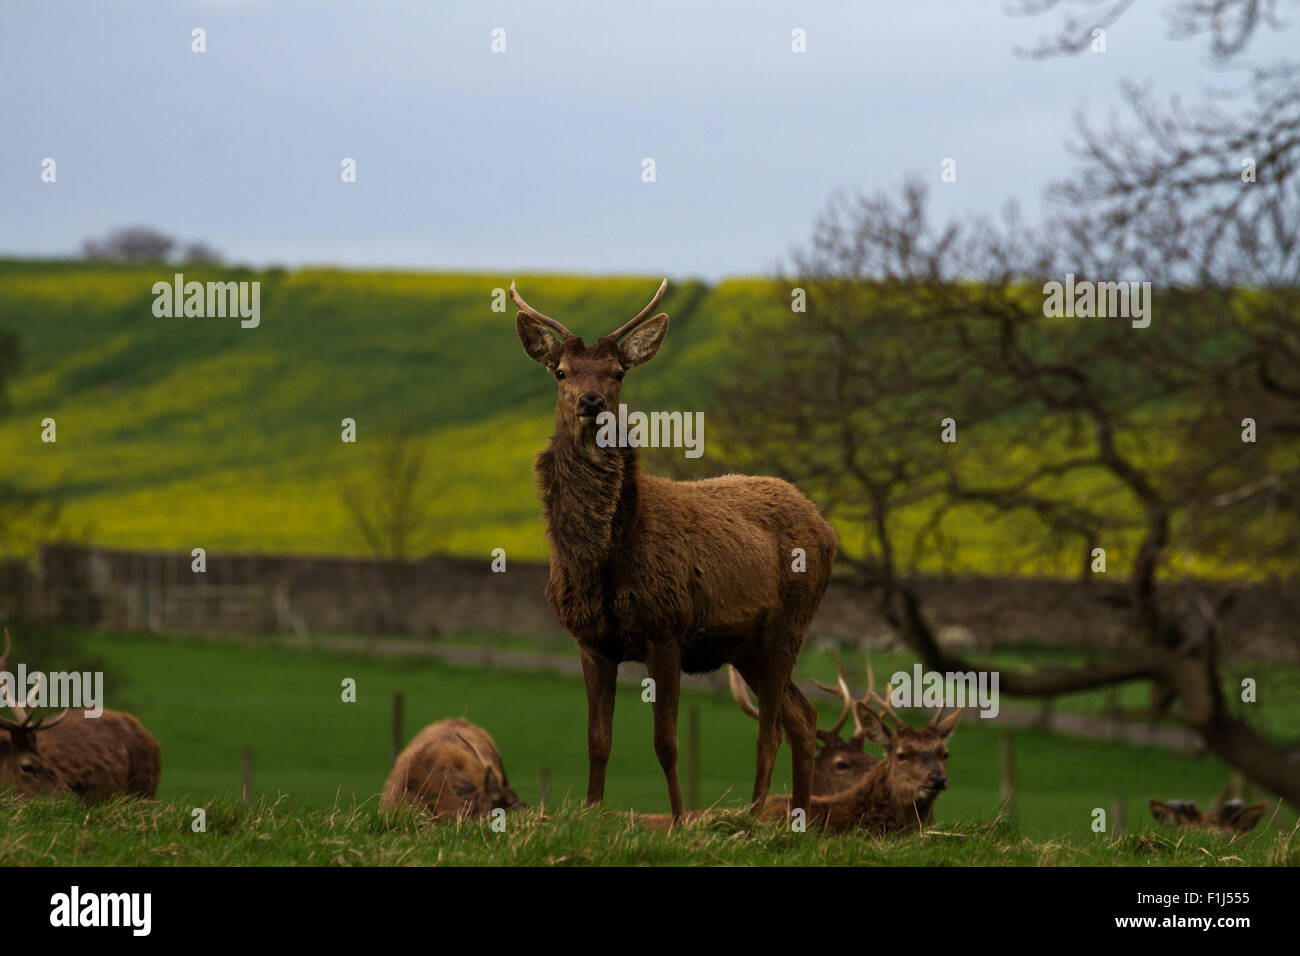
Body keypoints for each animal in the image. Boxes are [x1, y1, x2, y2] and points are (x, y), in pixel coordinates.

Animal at [511, 279, 837, 822]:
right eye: (561, 372)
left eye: (618, 372)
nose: (592, 401)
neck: (605, 563)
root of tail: (828, 528)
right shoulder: (590, 641)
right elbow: (597, 741)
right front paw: (593, 812)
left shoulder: (666, 628)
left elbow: (667, 742)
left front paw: (682, 820)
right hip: (745, 645)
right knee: (803, 716)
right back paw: (800, 822)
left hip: (789, 622)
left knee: (771, 728)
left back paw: (754, 818)